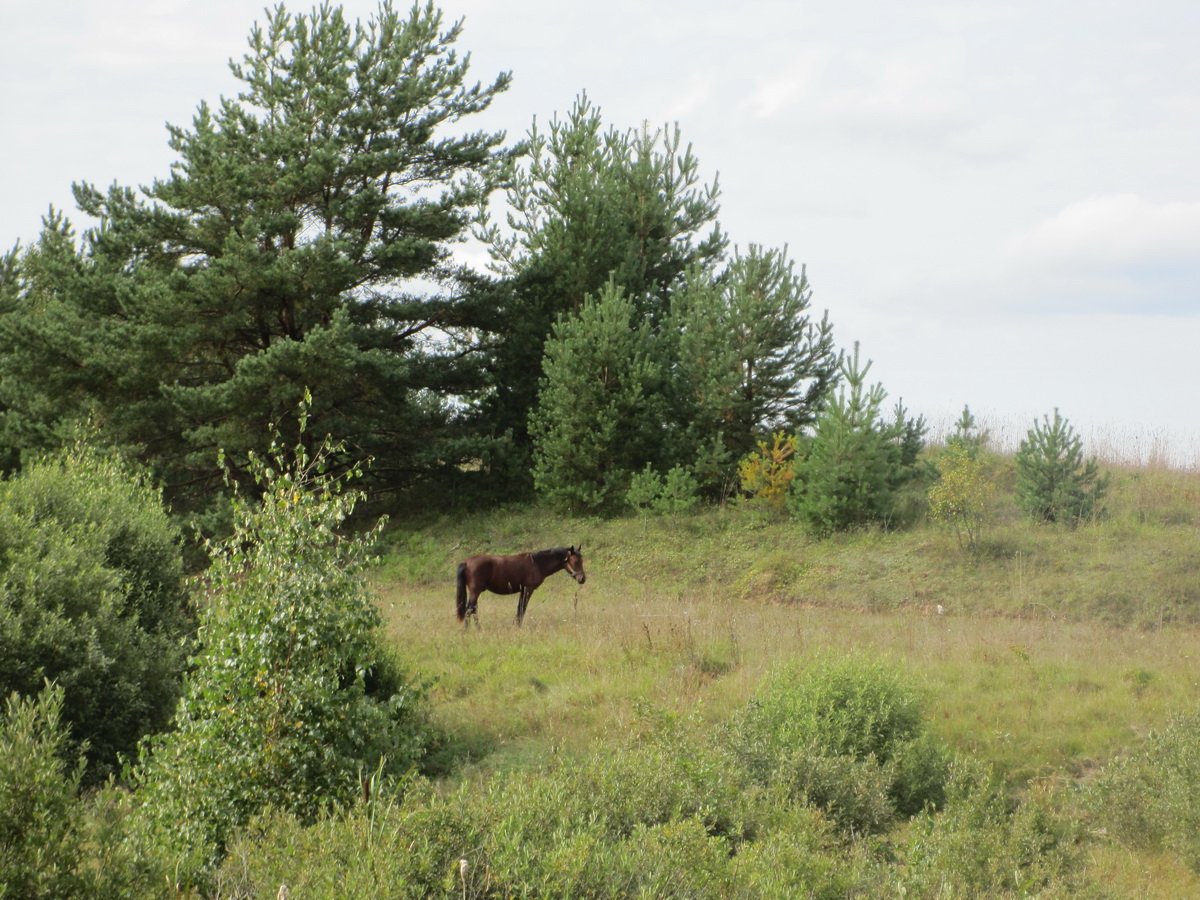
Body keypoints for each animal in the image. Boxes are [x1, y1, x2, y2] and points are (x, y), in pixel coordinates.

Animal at [456, 546, 585, 627]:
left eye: (582, 561)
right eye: (575, 561)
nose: (582, 579)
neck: (537, 563)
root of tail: (466, 562)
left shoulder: (523, 590)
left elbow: (519, 609)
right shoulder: (528, 589)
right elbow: (522, 609)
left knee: (473, 610)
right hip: (475, 591)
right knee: (469, 610)